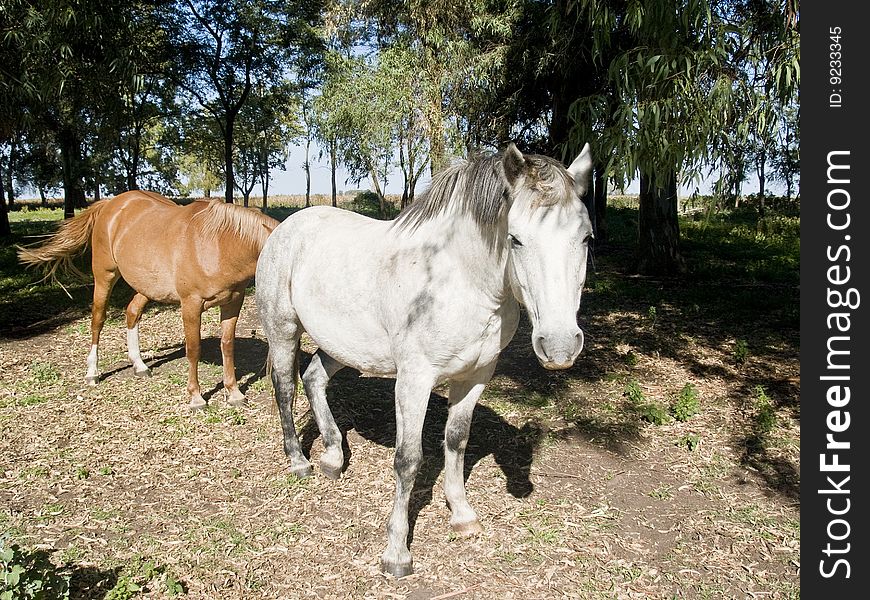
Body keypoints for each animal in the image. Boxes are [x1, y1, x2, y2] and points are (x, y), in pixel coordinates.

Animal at [17, 192, 280, 408]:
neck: (219, 245)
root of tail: (110, 205)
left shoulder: (233, 302)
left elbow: (227, 346)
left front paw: (234, 393)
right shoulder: (191, 305)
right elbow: (193, 349)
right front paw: (196, 397)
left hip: (146, 286)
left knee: (132, 312)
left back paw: (140, 365)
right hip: (105, 276)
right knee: (98, 320)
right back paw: (92, 371)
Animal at [255, 143, 596, 580]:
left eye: (586, 237)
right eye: (516, 239)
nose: (559, 347)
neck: (462, 283)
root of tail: (287, 227)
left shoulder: (475, 376)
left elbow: (457, 441)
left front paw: (463, 515)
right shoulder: (414, 380)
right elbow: (408, 460)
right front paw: (396, 554)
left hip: (341, 345)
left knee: (314, 379)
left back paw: (332, 456)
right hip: (283, 329)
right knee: (285, 388)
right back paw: (299, 462)